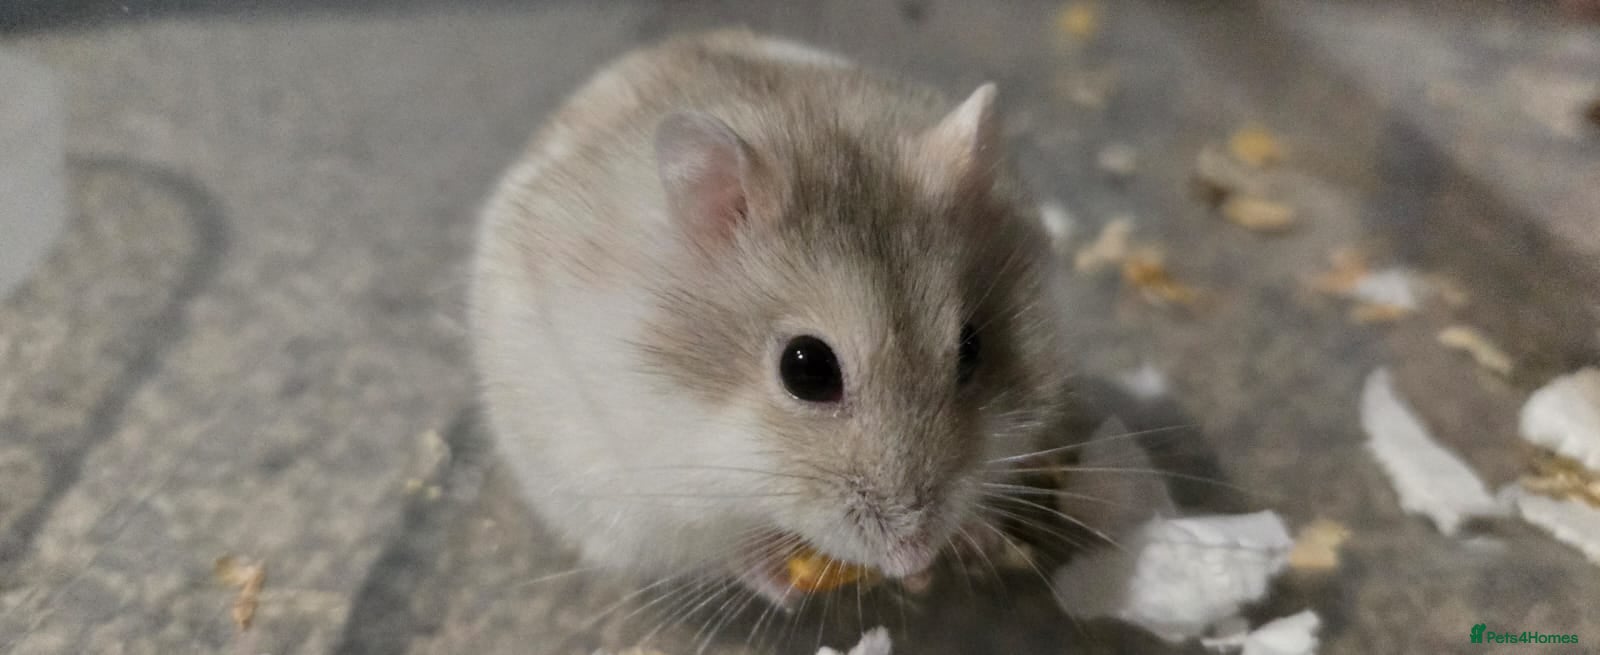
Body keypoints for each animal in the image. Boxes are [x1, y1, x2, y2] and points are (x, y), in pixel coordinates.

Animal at [470, 29, 1075, 606]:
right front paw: (786, 586)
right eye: (805, 369)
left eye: (972, 349)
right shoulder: (643, 491)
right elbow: (727, 544)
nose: (912, 555)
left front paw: (961, 552)